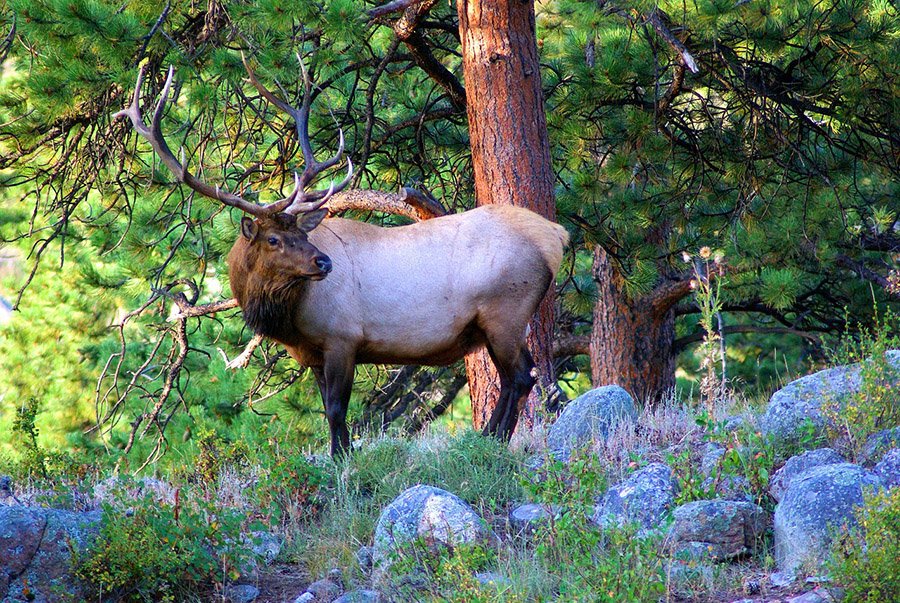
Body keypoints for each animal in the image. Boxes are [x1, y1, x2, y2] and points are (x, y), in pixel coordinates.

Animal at [115, 57, 569, 456]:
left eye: (300, 232)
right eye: (274, 239)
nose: (324, 263)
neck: (290, 318)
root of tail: (555, 236)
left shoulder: (343, 337)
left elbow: (336, 409)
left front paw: (341, 463)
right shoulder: (313, 353)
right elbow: (327, 410)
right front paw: (342, 455)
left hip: (504, 310)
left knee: (519, 378)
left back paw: (493, 440)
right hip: (500, 321)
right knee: (522, 377)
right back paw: (488, 438)